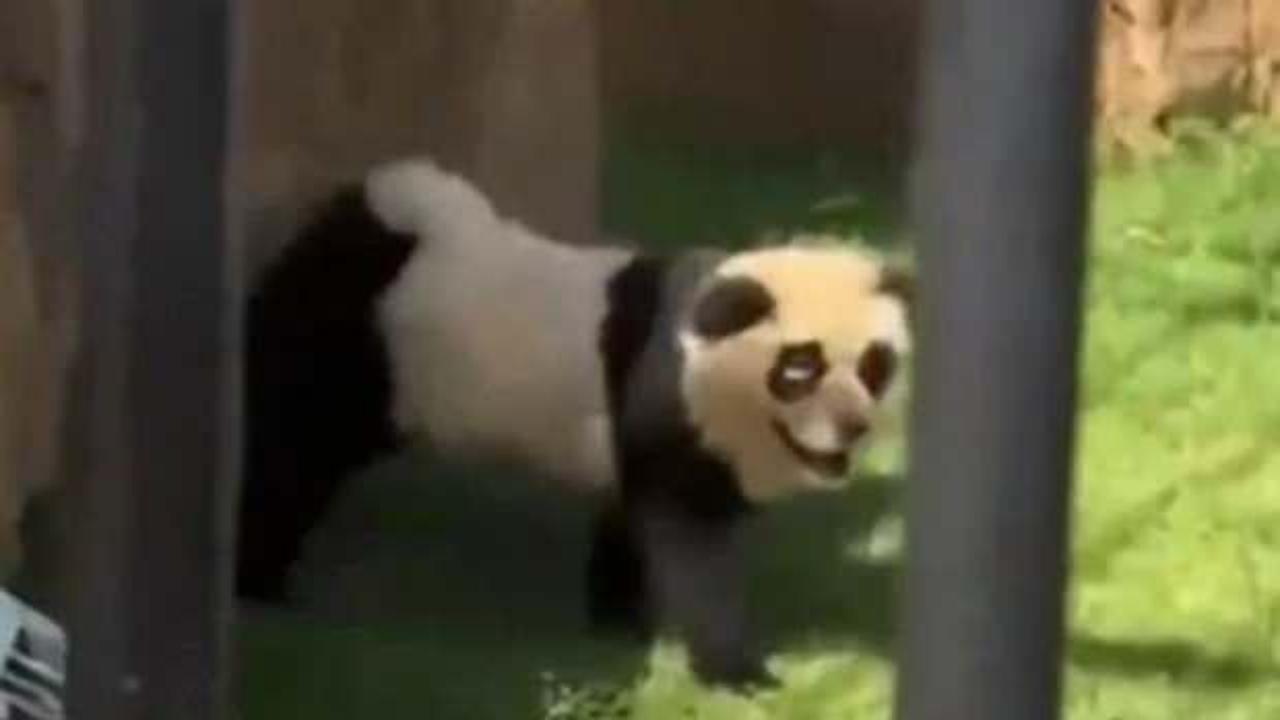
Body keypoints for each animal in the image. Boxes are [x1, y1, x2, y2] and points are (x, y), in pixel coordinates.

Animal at [237, 157, 912, 689]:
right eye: (800, 368)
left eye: (874, 366)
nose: (854, 427)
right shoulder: (668, 401)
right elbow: (693, 544)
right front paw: (738, 673)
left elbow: (629, 524)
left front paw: (619, 626)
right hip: (352, 346)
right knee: (290, 452)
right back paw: (260, 585)